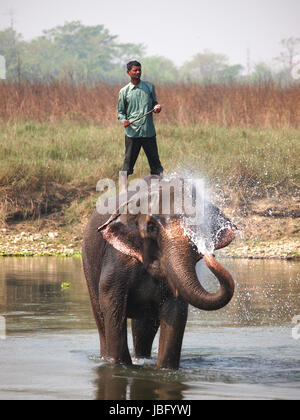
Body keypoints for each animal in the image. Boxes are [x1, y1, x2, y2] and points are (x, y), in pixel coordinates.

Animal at [82, 174, 237, 368]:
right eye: (151, 227)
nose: (209, 253)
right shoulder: (116, 257)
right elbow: (111, 303)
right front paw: (121, 366)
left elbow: (176, 309)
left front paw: (165, 369)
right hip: (88, 262)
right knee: (101, 317)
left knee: (144, 327)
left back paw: (142, 358)